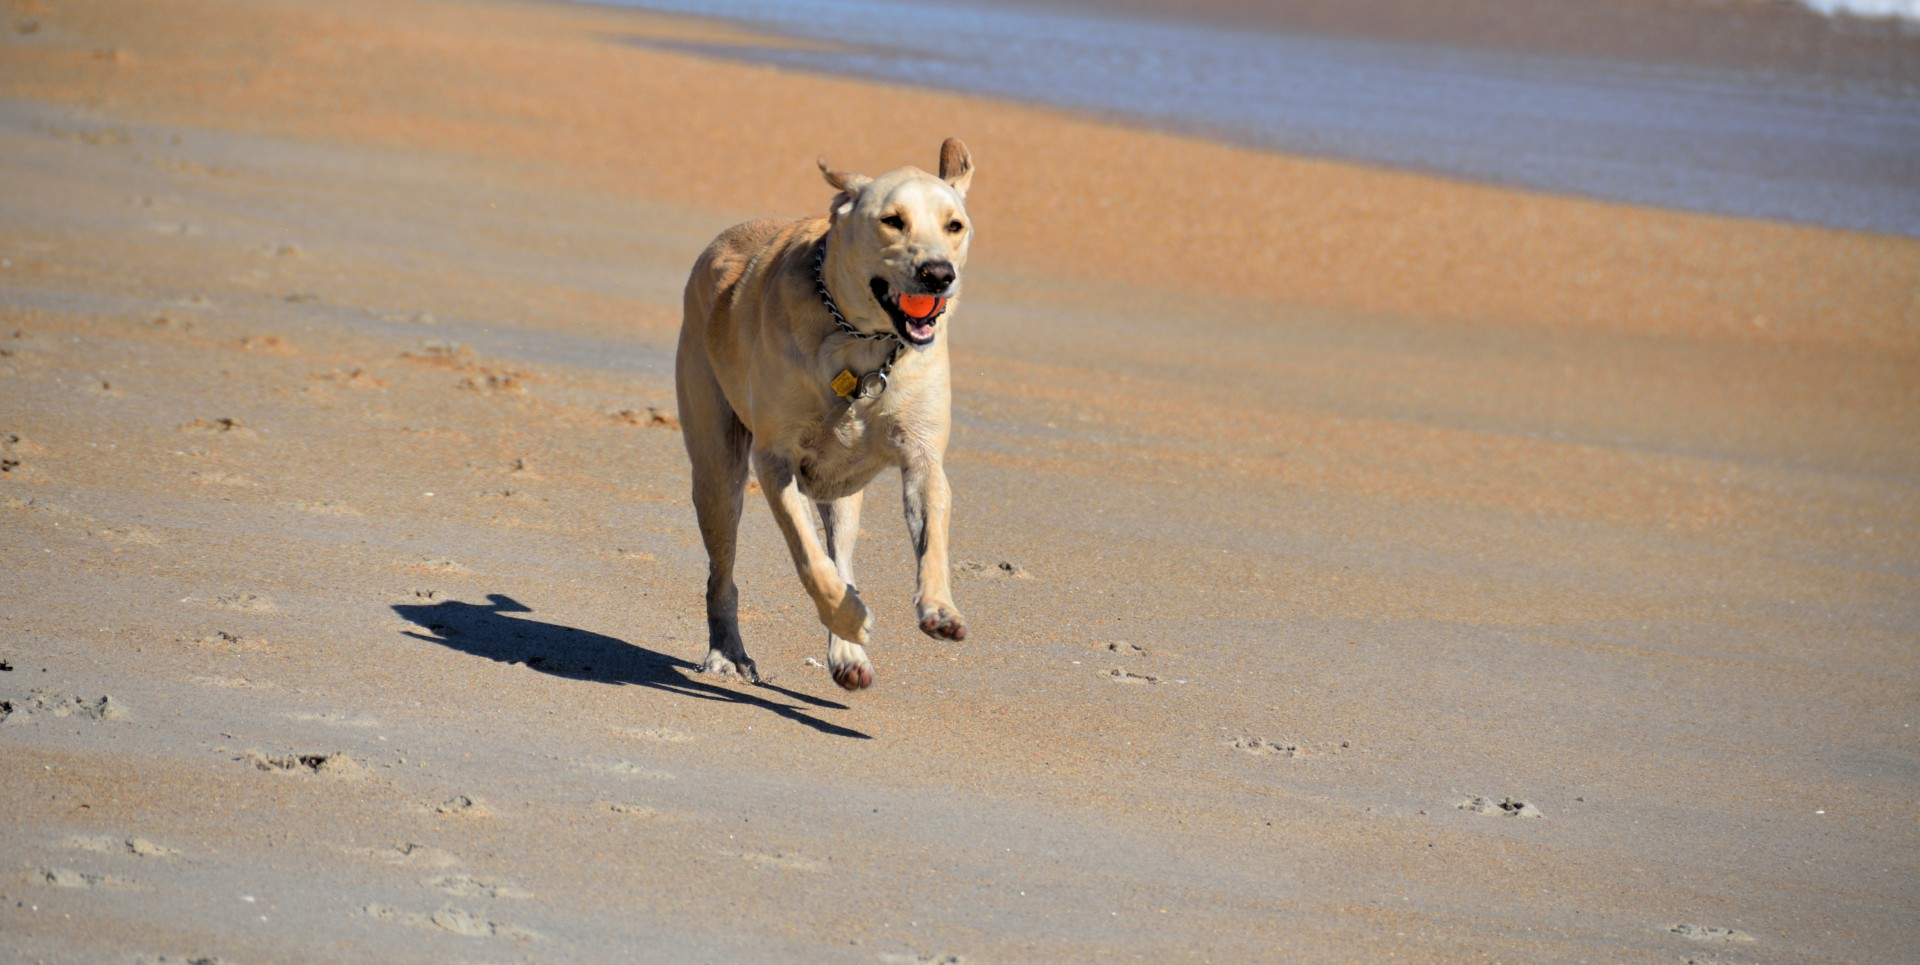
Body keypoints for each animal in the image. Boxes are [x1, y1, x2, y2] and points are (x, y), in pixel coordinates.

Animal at [675, 140, 975, 690]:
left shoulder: (923, 456)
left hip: (843, 495)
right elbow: (808, 559)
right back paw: (729, 652)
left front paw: (940, 610)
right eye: (892, 220)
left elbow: (931, 539)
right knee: (722, 572)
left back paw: (848, 655)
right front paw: (850, 619)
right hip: (716, 470)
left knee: (843, 555)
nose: (939, 274)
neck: (863, 341)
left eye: (954, 225)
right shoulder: (775, 461)